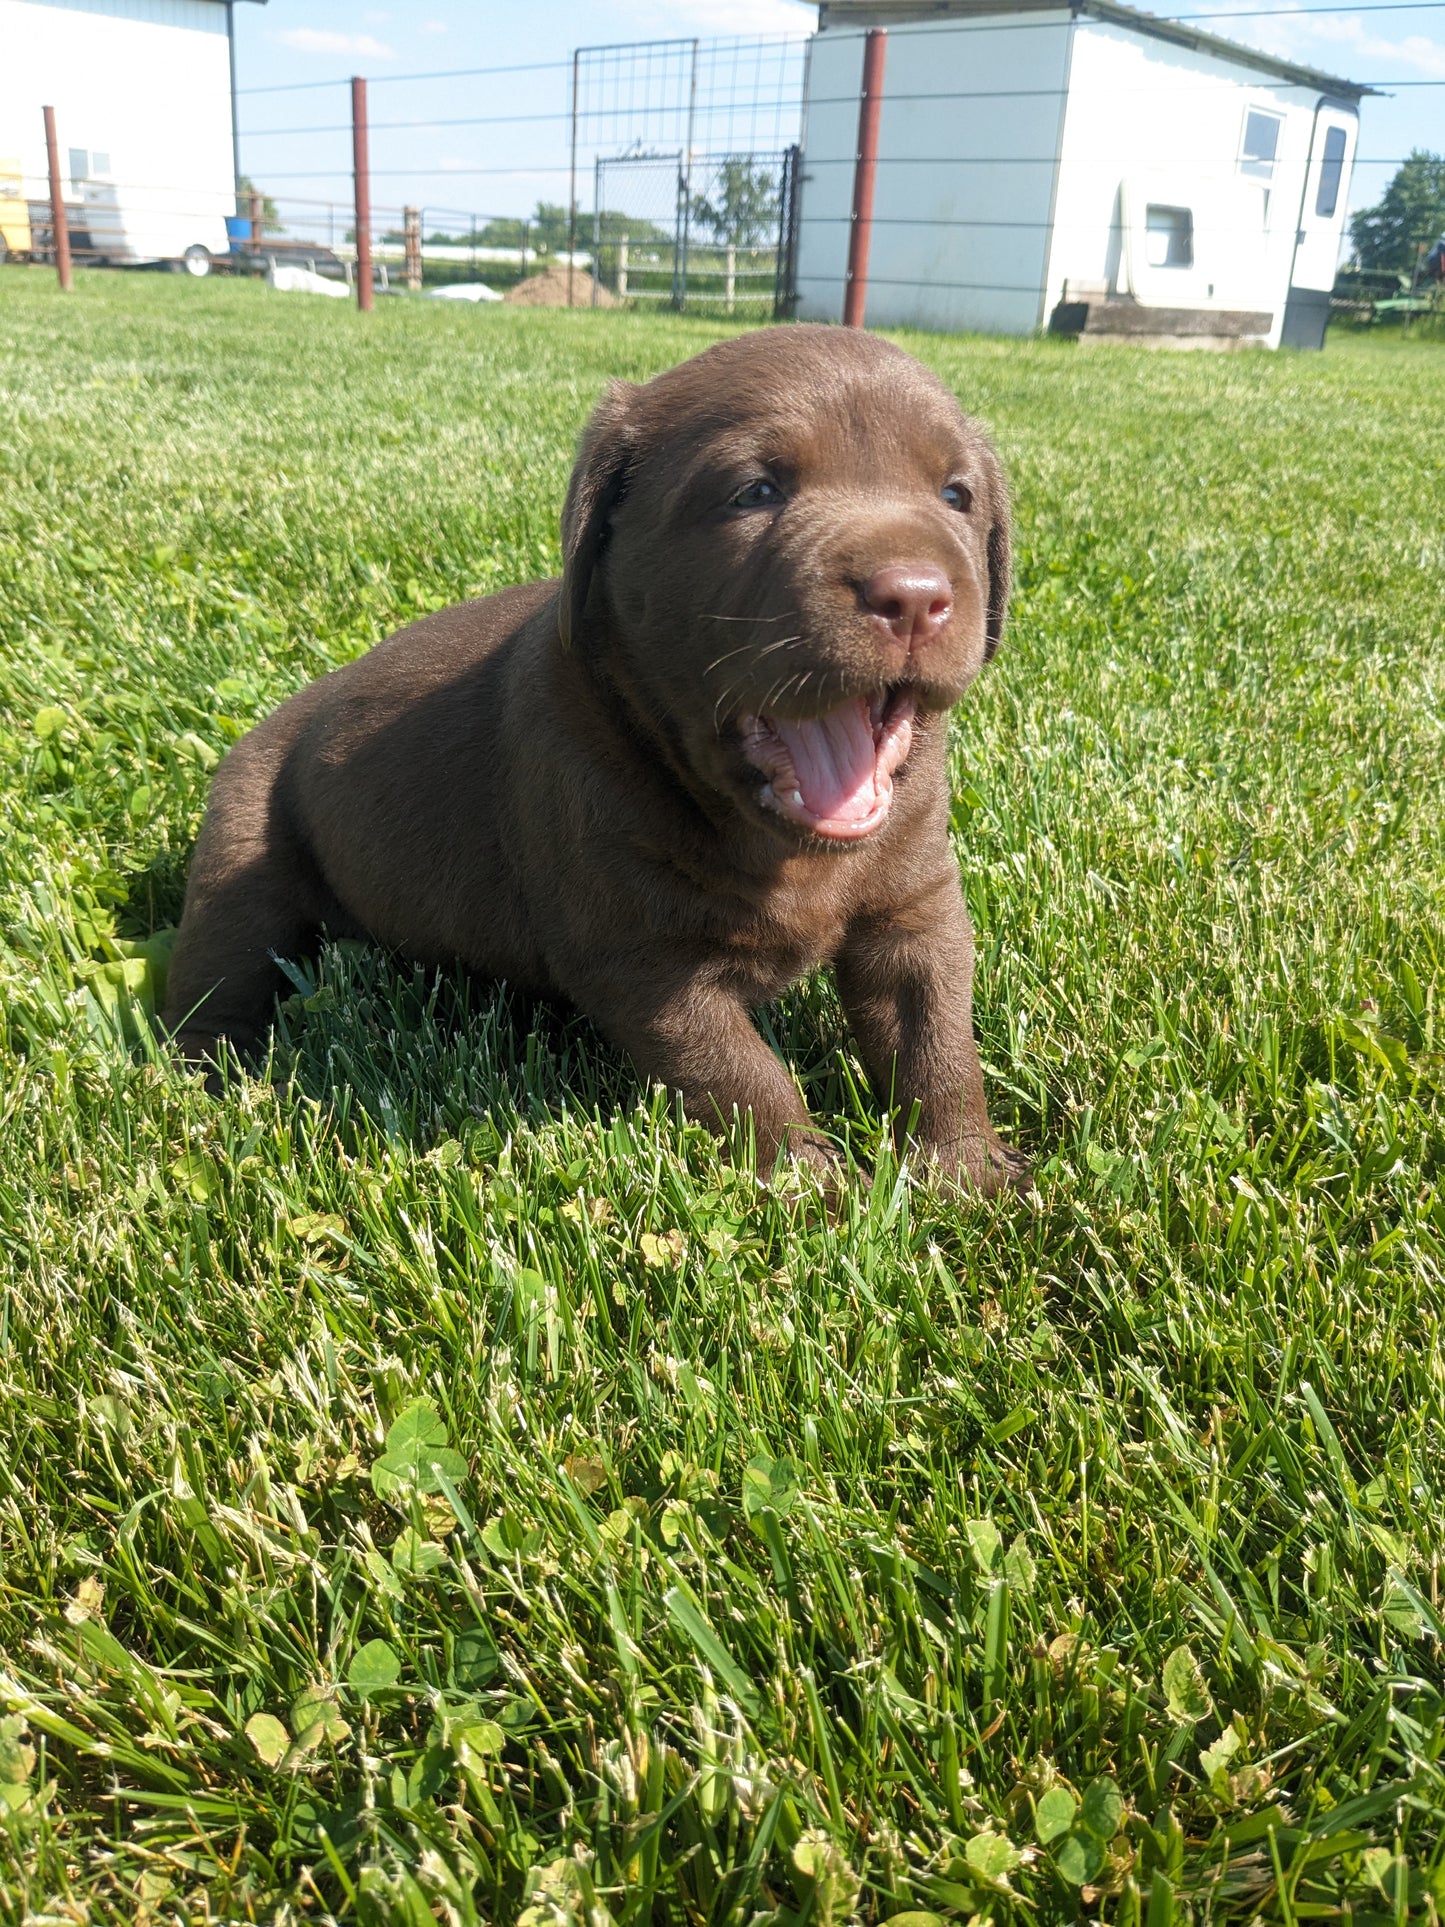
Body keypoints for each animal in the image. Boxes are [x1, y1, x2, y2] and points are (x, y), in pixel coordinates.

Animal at [163, 321, 1032, 1187]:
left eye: (955, 497)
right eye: (755, 491)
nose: (913, 596)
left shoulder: (914, 907)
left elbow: (933, 1038)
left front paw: (965, 1169)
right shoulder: (643, 956)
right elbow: (738, 1070)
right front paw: (804, 1182)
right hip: (243, 845)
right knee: (217, 971)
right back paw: (205, 1085)